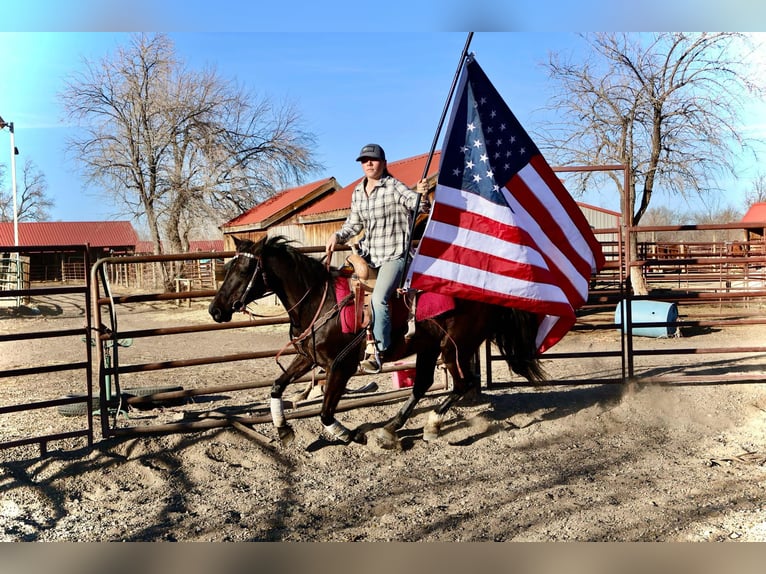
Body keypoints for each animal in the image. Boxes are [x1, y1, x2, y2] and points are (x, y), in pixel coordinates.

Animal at [210, 235, 544, 450]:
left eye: (244, 270)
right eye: (226, 269)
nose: (216, 310)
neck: (319, 300)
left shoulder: (341, 366)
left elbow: (326, 412)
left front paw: (351, 436)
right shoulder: (308, 358)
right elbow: (277, 387)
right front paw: (283, 429)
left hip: (455, 347)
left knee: (461, 384)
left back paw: (430, 426)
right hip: (429, 347)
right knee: (423, 384)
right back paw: (390, 429)